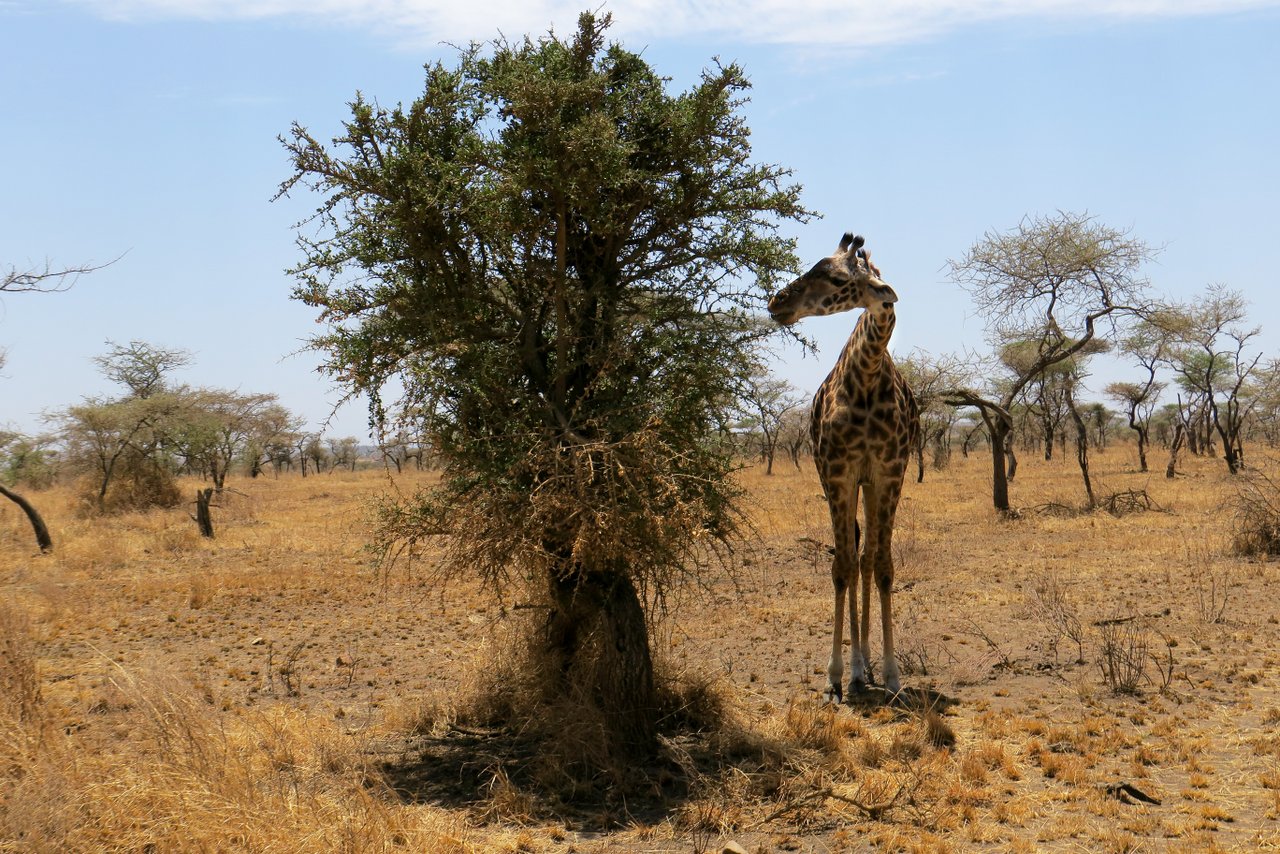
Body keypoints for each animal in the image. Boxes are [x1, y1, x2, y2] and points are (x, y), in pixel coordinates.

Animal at [762, 234, 916, 701]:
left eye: (834, 279)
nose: (777, 301)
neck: (866, 375)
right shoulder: (836, 472)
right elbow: (840, 566)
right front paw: (836, 674)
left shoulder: (889, 471)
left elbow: (881, 566)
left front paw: (891, 674)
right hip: (843, 480)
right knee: (850, 558)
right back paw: (856, 669)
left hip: (869, 483)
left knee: (865, 558)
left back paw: (866, 666)